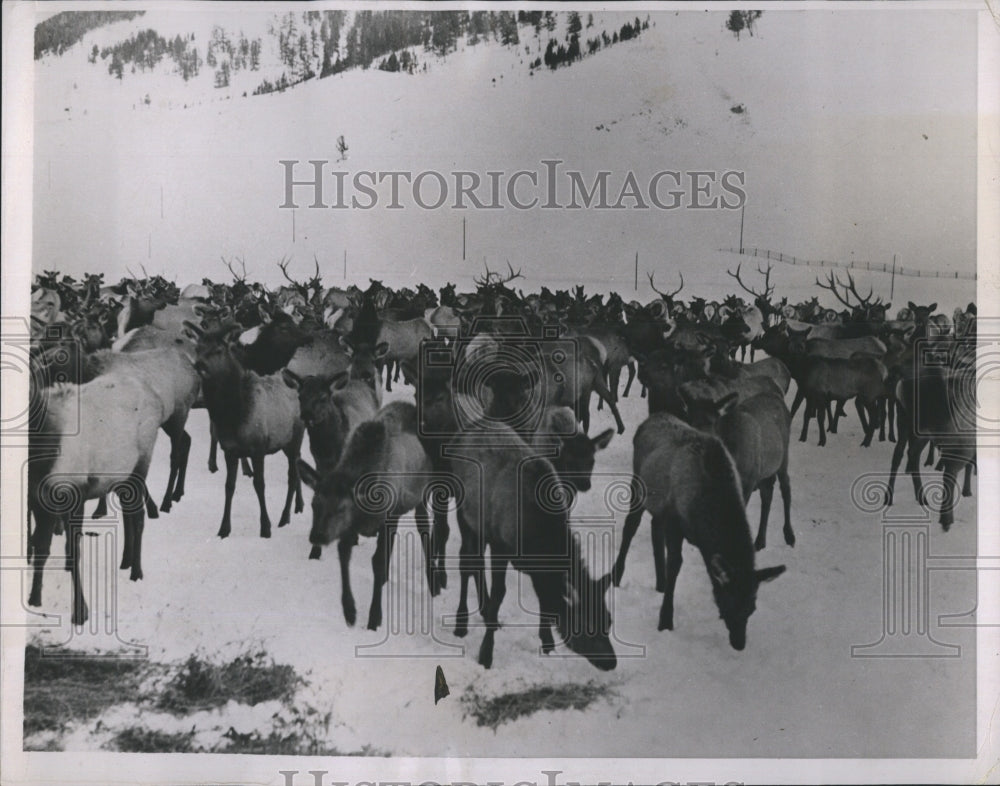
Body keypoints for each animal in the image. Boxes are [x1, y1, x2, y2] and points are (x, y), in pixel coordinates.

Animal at [186, 322, 304, 536]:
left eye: (219, 350)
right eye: (197, 348)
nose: (199, 366)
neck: (233, 417)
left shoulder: (259, 447)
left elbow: (259, 484)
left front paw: (265, 527)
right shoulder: (230, 450)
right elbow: (229, 486)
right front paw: (224, 528)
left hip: (296, 437)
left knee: (292, 476)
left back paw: (284, 517)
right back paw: (298, 507)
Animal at [608, 410, 788, 648]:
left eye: (752, 608)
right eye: (727, 602)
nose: (739, 643)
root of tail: (652, 418)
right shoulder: (674, 522)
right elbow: (675, 564)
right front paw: (665, 620)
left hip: (658, 504)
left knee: (655, 527)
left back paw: (660, 583)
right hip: (638, 485)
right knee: (630, 526)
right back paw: (617, 575)